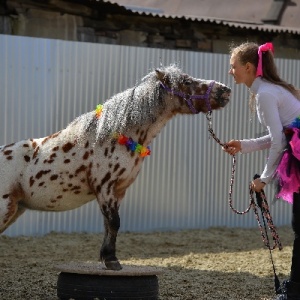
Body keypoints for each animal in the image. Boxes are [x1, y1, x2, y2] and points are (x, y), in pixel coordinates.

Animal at [0, 65, 231, 270]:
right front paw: (112, 261)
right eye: (186, 82)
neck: (115, 137)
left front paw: (107, 257)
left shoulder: (118, 191)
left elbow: (109, 225)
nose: (225, 90)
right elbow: (114, 222)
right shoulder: (105, 189)